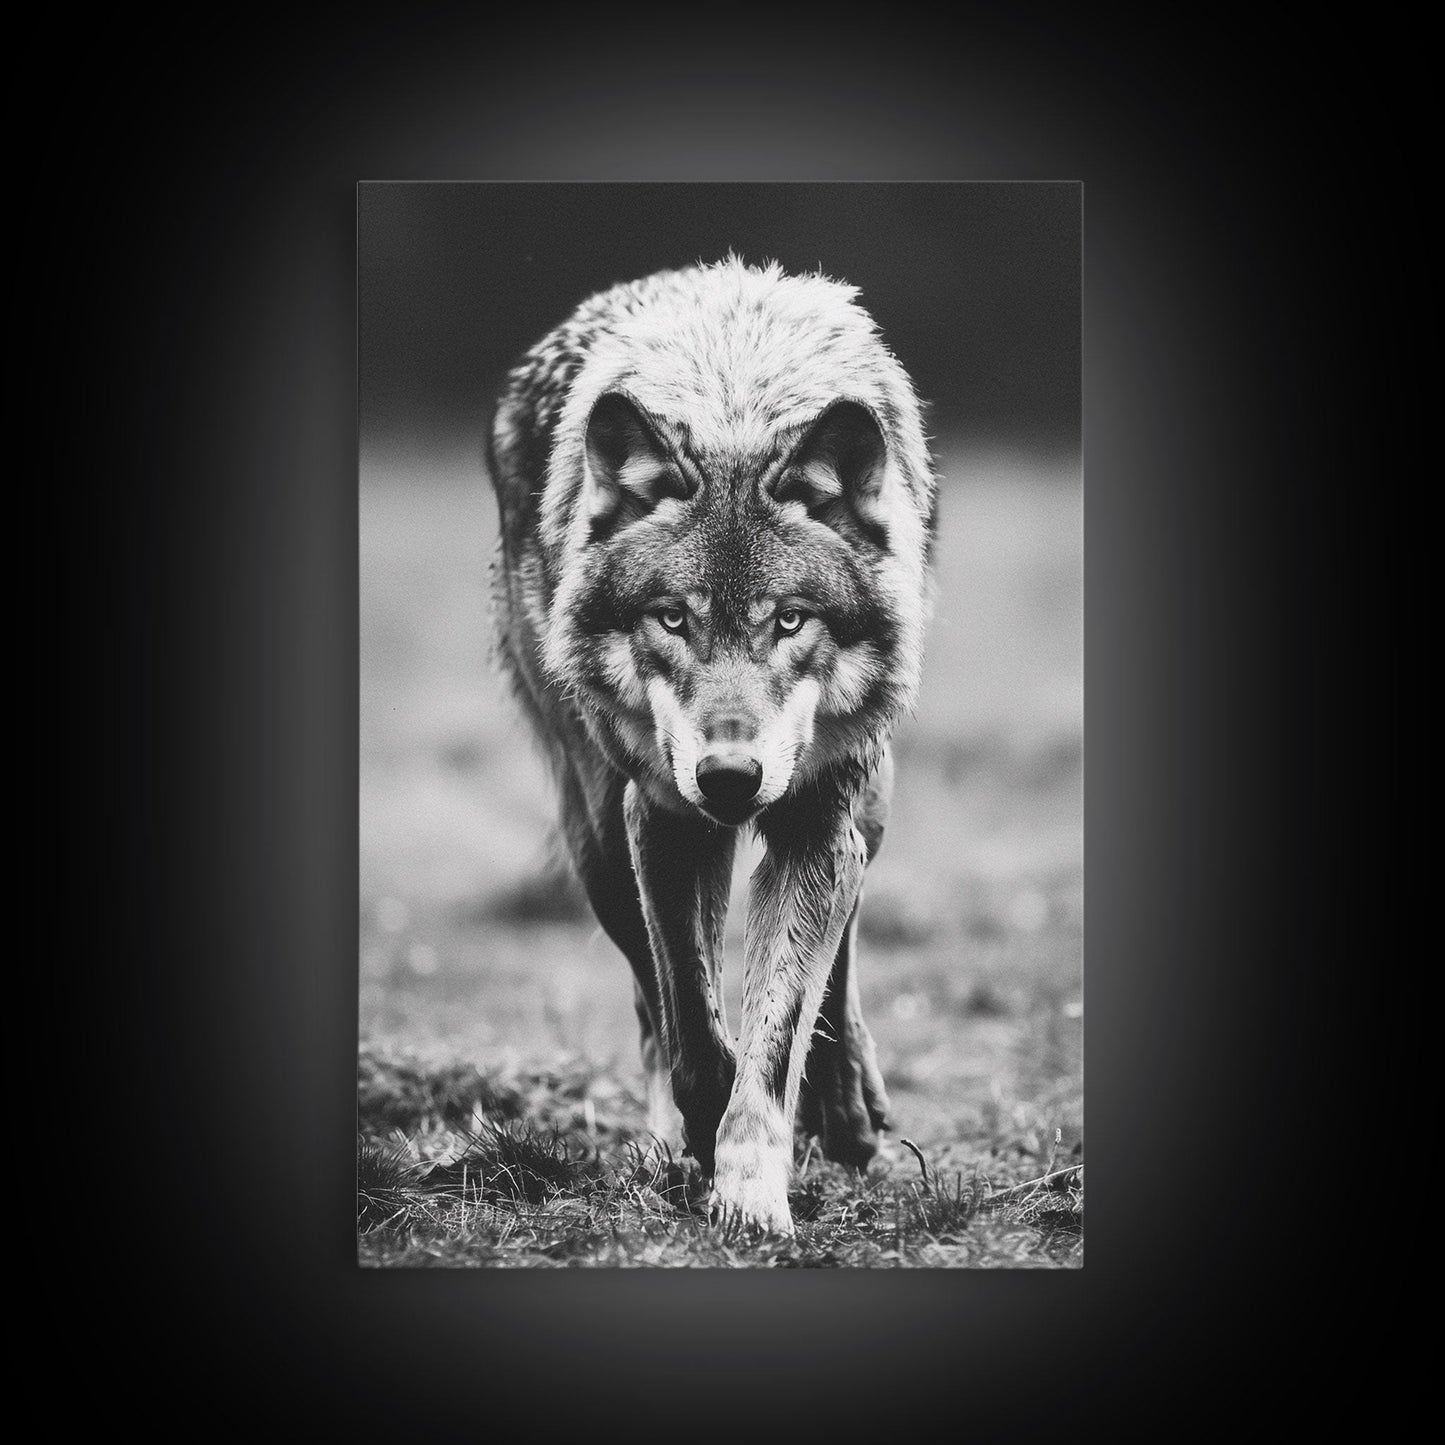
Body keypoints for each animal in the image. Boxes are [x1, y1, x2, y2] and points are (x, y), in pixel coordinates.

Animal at [486, 257, 937, 1235]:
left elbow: (778, 1023)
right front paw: (705, 1128)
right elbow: (692, 1021)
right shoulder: (660, 818)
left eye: (789, 620)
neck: (735, 403)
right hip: (596, 834)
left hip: (866, 800)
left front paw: (752, 1190)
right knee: (650, 1002)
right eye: (671, 618)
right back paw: (677, 1135)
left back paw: (847, 1105)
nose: (730, 776)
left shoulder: (813, 822)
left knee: (841, 942)